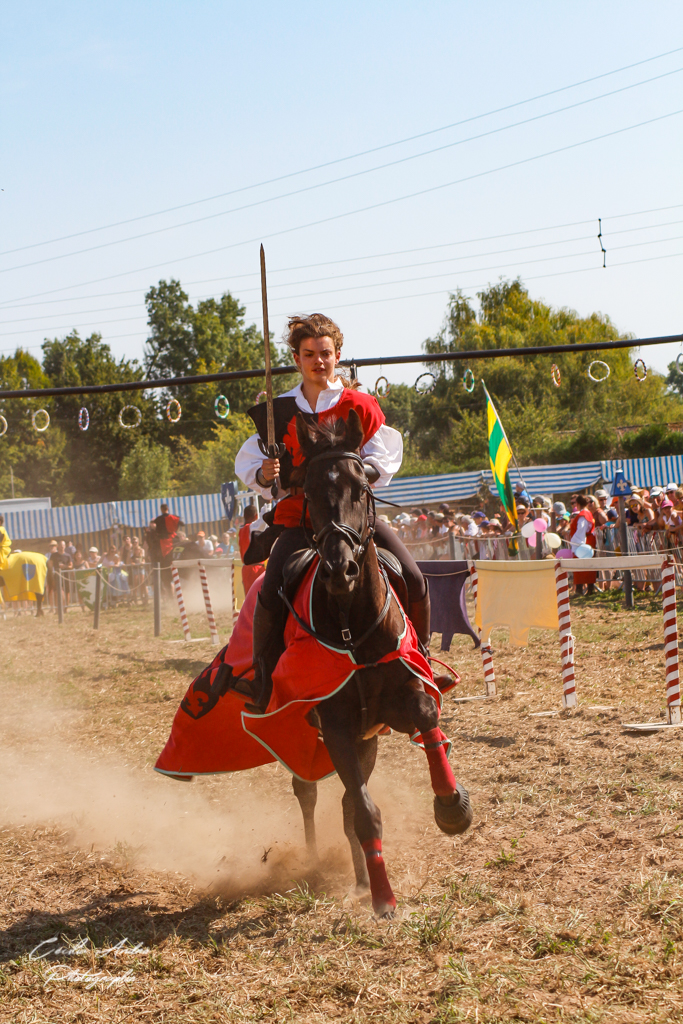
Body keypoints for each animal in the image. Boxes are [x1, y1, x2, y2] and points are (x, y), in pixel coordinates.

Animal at [286, 409, 473, 921]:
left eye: (361, 486)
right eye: (309, 490)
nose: (340, 569)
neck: (354, 628)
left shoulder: (400, 700)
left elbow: (427, 717)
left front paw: (451, 806)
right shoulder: (336, 729)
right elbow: (366, 814)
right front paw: (384, 898)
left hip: (366, 741)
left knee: (346, 804)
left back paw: (357, 878)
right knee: (310, 794)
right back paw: (319, 862)